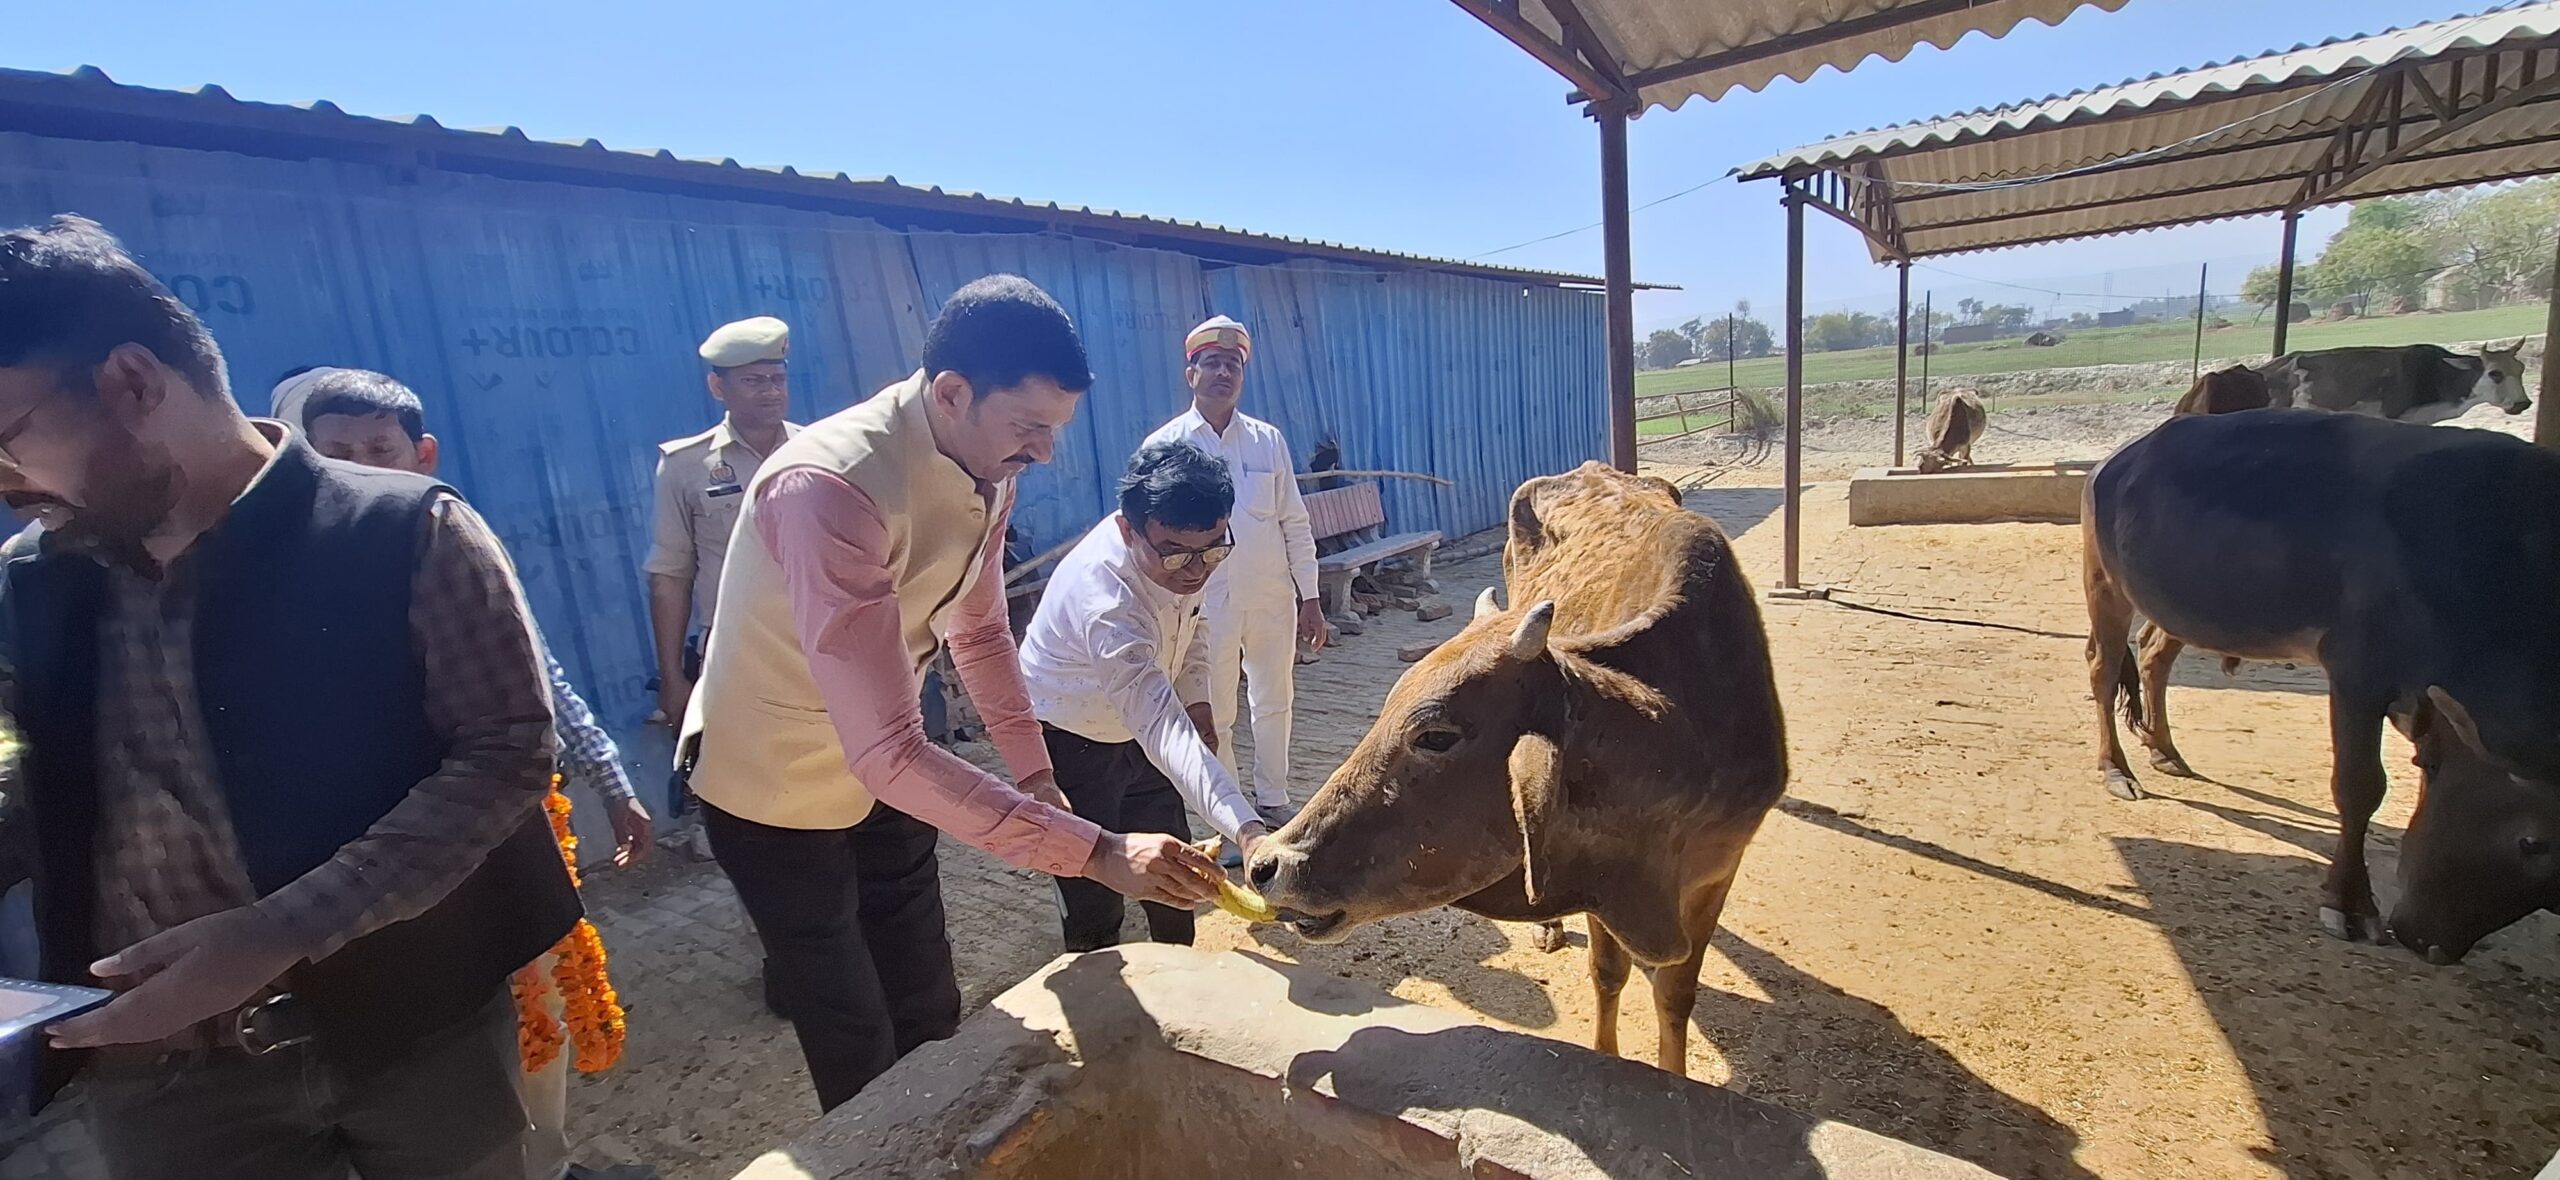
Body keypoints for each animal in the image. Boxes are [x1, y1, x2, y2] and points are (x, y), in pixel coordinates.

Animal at [1244, 463, 1781, 1069]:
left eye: (1435, 735)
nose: (1266, 862)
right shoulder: (1596, 882)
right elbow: (1609, 972)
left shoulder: (1717, 870)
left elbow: (1675, 994)